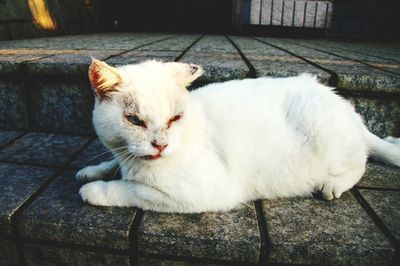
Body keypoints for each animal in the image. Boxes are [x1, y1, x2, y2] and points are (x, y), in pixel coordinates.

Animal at [77, 59, 400, 213]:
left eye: (175, 119)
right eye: (134, 120)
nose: (161, 145)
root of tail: (343, 104)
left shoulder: (199, 193)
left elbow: (130, 189)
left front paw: (96, 190)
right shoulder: (123, 153)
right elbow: (113, 162)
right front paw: (92, 170)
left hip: (328, 139)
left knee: (361, 162)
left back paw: (333, 185)